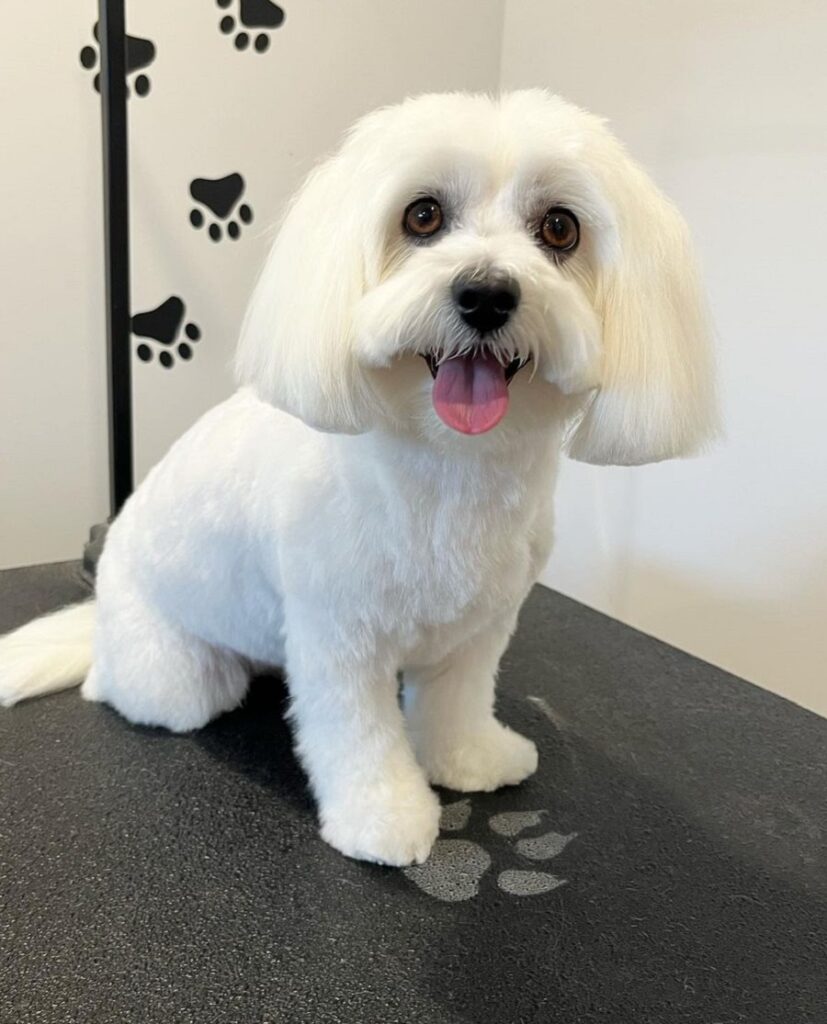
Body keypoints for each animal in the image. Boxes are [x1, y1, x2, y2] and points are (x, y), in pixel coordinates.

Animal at [0, 94, 712, 864]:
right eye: (422, 215)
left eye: (559, 227)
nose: (486, 294)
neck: (449, 468)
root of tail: (100, 608)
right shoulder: (340, 641)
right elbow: (359, 737)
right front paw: (385, 817)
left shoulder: (480, 629)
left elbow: (458, 701)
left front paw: (470, 759)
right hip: (172, 674)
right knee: (138, 689)